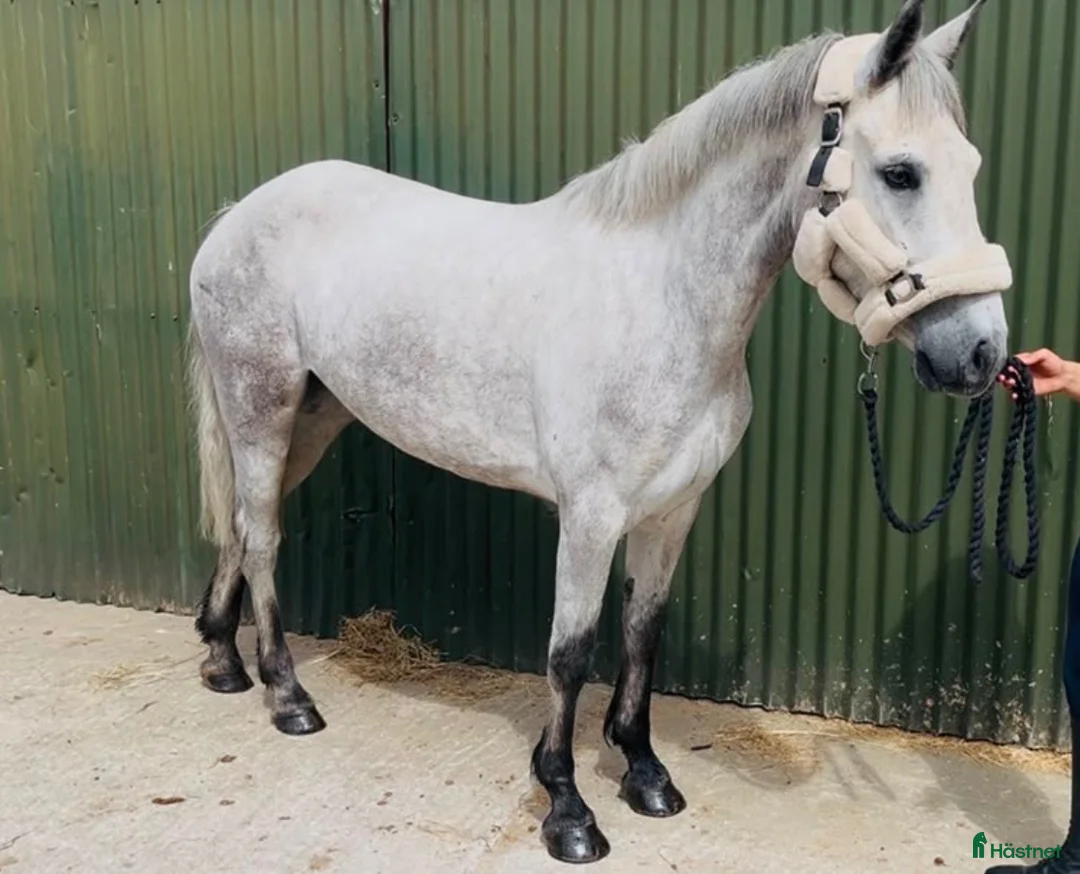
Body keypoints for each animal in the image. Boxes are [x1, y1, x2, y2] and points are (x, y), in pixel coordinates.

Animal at [185, 0, 1006, 863]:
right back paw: (286, 695)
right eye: (902, 173)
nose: (982, 353)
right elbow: (569, 653)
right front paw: (568, 808)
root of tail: (237, 216)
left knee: (242, 524)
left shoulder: (673, 512)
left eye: (970, 166)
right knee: (264, 537)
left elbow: (642, 635)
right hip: (261, 409)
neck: (662, 300)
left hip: (311, 418)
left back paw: (222, 660)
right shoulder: (590, 516)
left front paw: (644, 772)